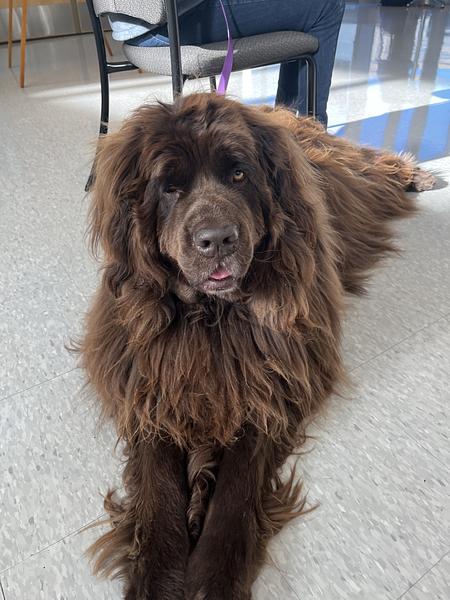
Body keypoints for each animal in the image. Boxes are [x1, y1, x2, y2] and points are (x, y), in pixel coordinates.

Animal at [78, 91, 436, 596]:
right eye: (169, 188)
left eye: (239, 175)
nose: (216, 240)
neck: (211, 317)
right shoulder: (149, 379)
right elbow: (159, 478)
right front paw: (158, 575)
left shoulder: (272, 382)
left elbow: (238, 480)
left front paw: (215, 576)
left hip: (352, 180)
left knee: (371, 166)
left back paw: (412, 172)